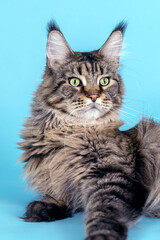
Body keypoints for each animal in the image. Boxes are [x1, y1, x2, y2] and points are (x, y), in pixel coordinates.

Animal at [18, 21, 160, 240]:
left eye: (104, 81)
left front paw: (100, 236)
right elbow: (60, 196)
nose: (93, 96)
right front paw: (45, 208)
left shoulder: (113, 178)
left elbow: (104, 213)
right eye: (75, 81)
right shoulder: (58, 178)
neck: (71, 134)